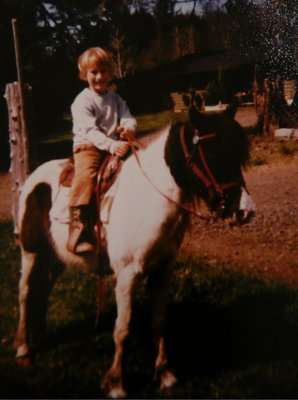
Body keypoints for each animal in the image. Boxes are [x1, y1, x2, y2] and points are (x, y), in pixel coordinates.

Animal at [14, 104, 255, 398]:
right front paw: (116, 383)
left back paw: (41, 337)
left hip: (55, 257)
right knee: (25, 293)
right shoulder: (126, 276)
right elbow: (122, 329)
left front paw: (165, 375)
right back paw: (24, 349)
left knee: (43, 289)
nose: (244, 210)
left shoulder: (163, 271)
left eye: (239, 155)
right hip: (31, 252)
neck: (147, 199)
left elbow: (160, 321)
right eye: (212, 153)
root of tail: (33, 179)